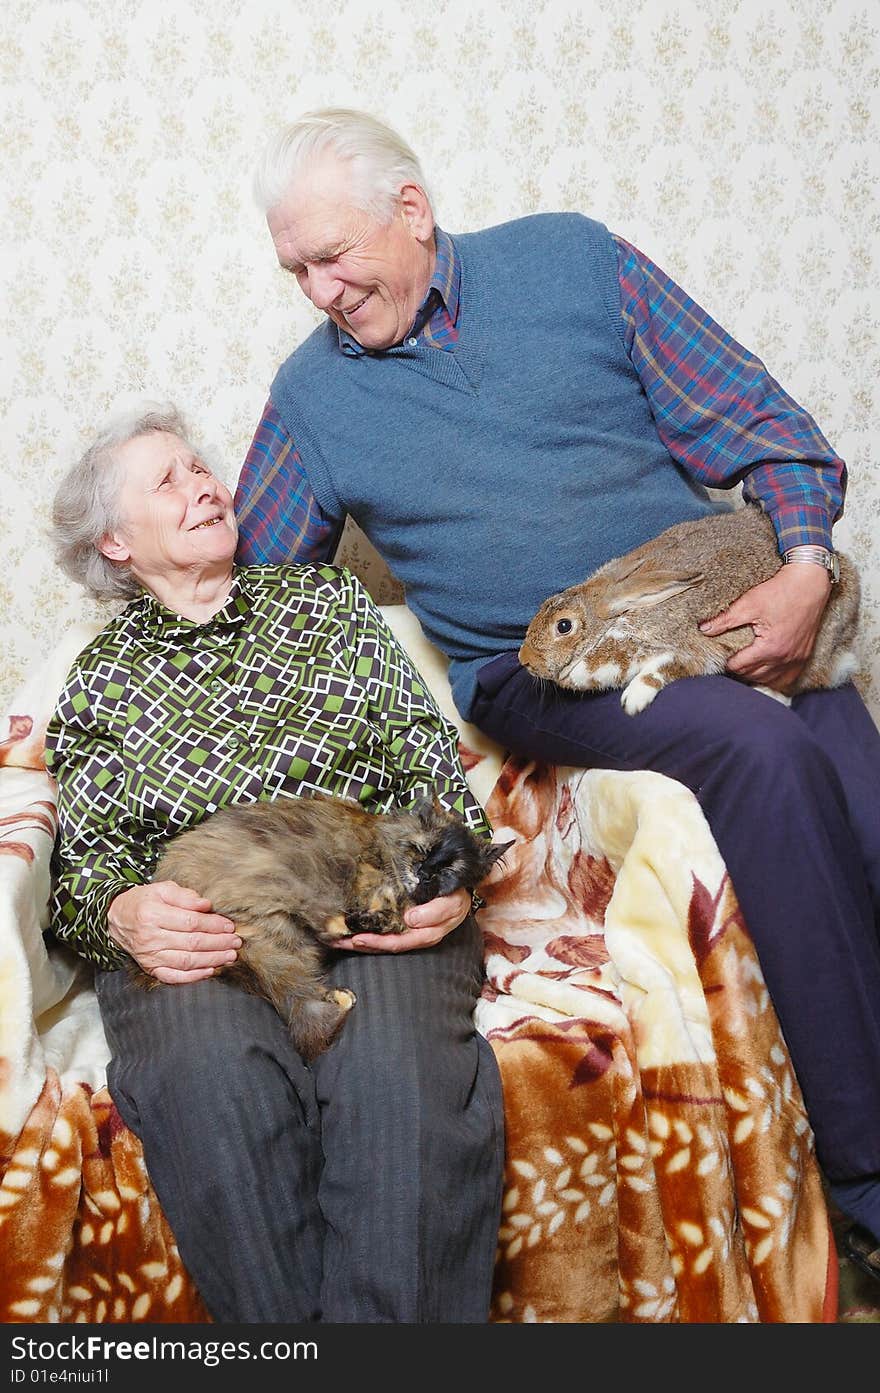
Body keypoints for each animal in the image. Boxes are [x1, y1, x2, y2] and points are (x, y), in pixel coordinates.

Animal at [144, 791, 512, 1058]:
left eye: (447, 870)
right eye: (421, 850)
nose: (423, 873)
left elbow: (389, 920)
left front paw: (369, 919)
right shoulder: (367, 871)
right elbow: (374, 903)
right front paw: (362, 916)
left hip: (286, 947)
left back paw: (341, 988)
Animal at [515, 504, 857, 718]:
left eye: (564, 626)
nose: (524, 660)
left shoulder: (694, 648)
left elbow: (664, 669)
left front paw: (632, 701)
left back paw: (770, 693)